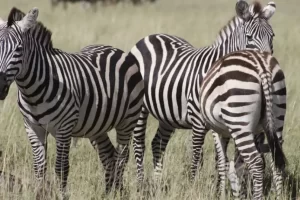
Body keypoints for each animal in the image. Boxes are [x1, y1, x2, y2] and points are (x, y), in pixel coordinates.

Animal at [0, 7, 144, 197]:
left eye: (19, 48)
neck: (32, 92)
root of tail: (116, 50)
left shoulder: (64, 127)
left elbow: (61, 167)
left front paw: (62, 195)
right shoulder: (32, 127)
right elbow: (39, 167)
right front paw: (39, 194)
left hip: (127, 121)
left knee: (122, 156)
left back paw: (116, 192)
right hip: (96, 127)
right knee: (108, 155)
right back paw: (108, 192)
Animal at [130, 0, 278, 195]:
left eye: (272, 36)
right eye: (249, 37)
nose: (268, 65)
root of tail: (150, 36)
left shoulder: (223, 124)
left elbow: (219, 160)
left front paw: (219, 191)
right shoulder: (198, 122)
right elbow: (196, 159)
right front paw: (193, 188)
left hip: (168, 114)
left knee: (158, 144)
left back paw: (157, 184)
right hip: (141, 108)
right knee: (139, 143)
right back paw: (140, 185)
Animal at [199, 48, 286, 200]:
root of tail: (261, 66)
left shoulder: (217, 131)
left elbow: (222, 162)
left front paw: (222, 194)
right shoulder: (246, 132)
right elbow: (238, 165)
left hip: (239, 120)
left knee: (256, 163)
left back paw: (257, 196)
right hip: (277, 115)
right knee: (275, 160)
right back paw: (279, 196)